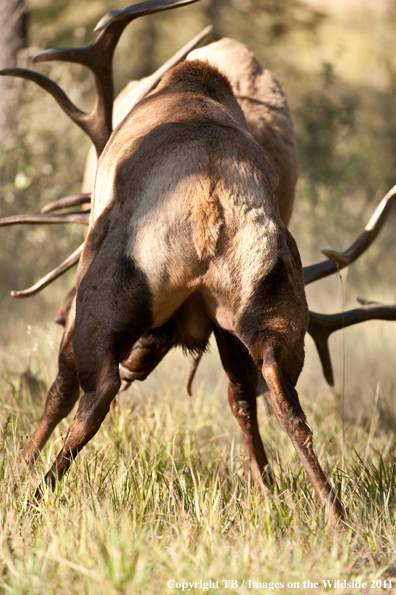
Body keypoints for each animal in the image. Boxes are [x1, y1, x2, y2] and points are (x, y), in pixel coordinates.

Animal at [0, 0, 396, 524]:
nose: (137, 363)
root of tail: (210, 206)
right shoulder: (219, 320)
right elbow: (243, 396)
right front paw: (265, 485)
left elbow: (59, 386)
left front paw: (20, 466)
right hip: (267, 299)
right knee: (279, 397)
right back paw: (323, 509)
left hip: (107, 287)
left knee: (91, 387)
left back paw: (35, 491)